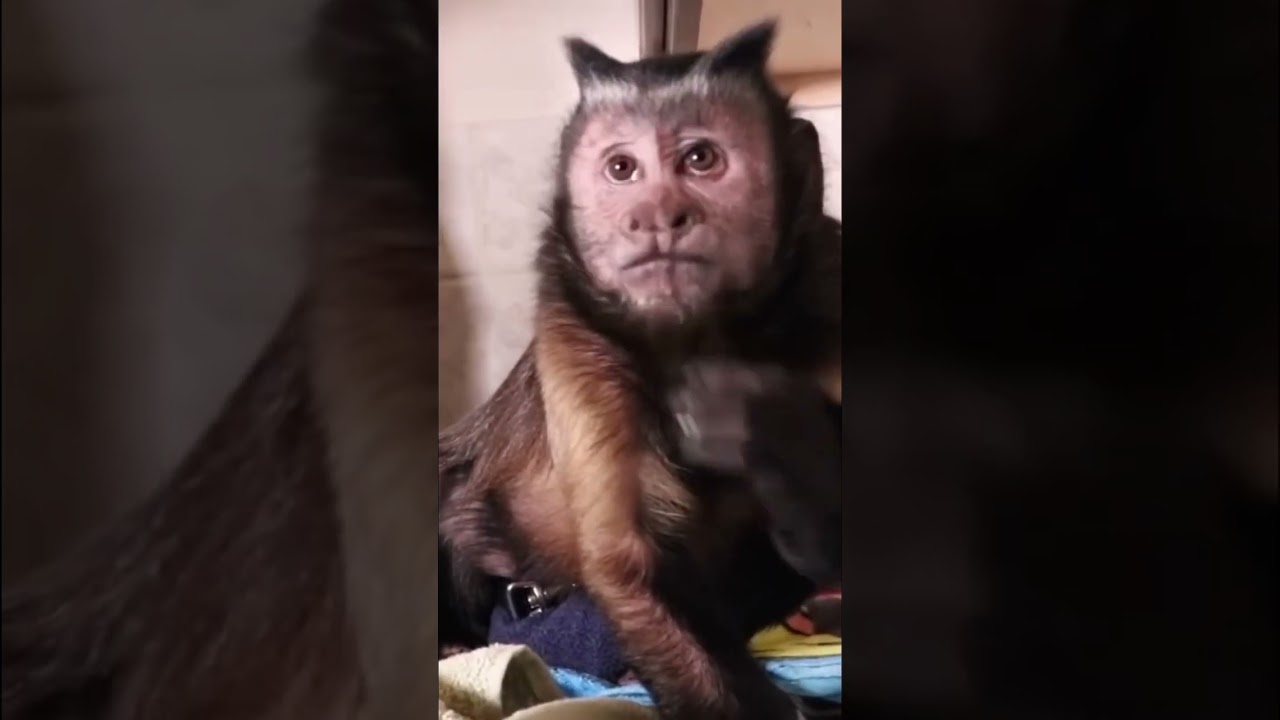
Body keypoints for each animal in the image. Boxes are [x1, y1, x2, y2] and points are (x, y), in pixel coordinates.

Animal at [436, 21, 841, 720]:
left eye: (700, 159)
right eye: (622, 169)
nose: (655, 214)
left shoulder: (826, 282)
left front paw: (762, 418)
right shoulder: (574, 336)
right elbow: (631, 569)